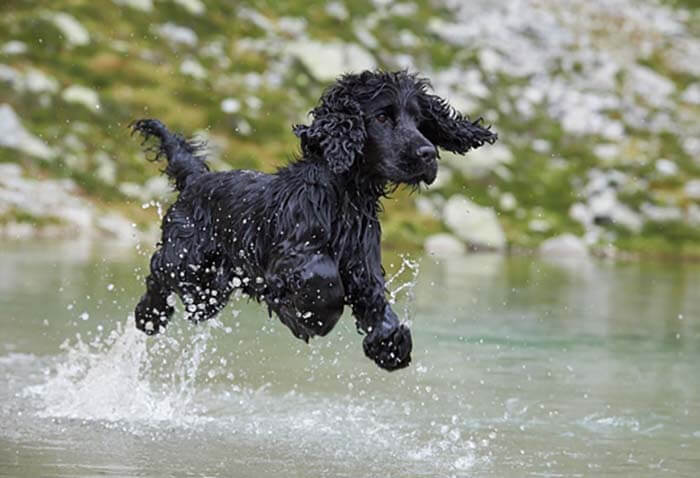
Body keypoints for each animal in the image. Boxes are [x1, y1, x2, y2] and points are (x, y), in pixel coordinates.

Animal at [131, 71, 498, 372]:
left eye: (420, 121)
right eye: (382, 116)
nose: (428, 155)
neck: (344, 197)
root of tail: (195, 179)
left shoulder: (362, 264)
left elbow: (375, 301)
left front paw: (389, 344)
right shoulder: (290, 256)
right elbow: (323, 279)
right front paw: (309, 318)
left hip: (209, 291)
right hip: (189, 262)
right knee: (158, 270)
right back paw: (149, 315)